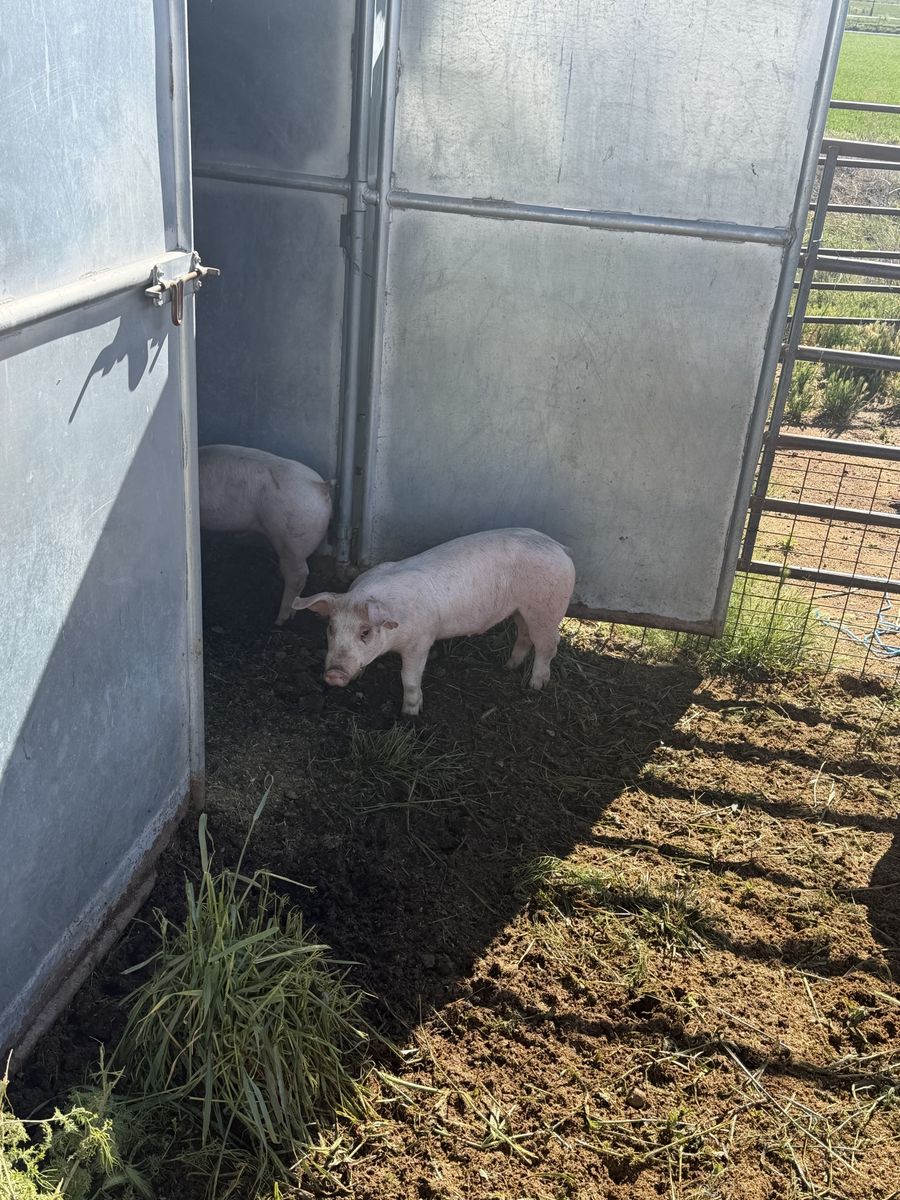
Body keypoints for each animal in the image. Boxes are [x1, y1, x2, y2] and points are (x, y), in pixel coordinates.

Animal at [292, 528, 575, 715]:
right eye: (331, 628)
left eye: (365, 632)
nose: (334, 674)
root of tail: (559, 547)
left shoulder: (421, 641)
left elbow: (409, 677)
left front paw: (410, 713)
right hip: (522, 609)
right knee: (525, 635)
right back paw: (508, 666)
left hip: (546, 608)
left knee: (549, 644)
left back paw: (535, 686)